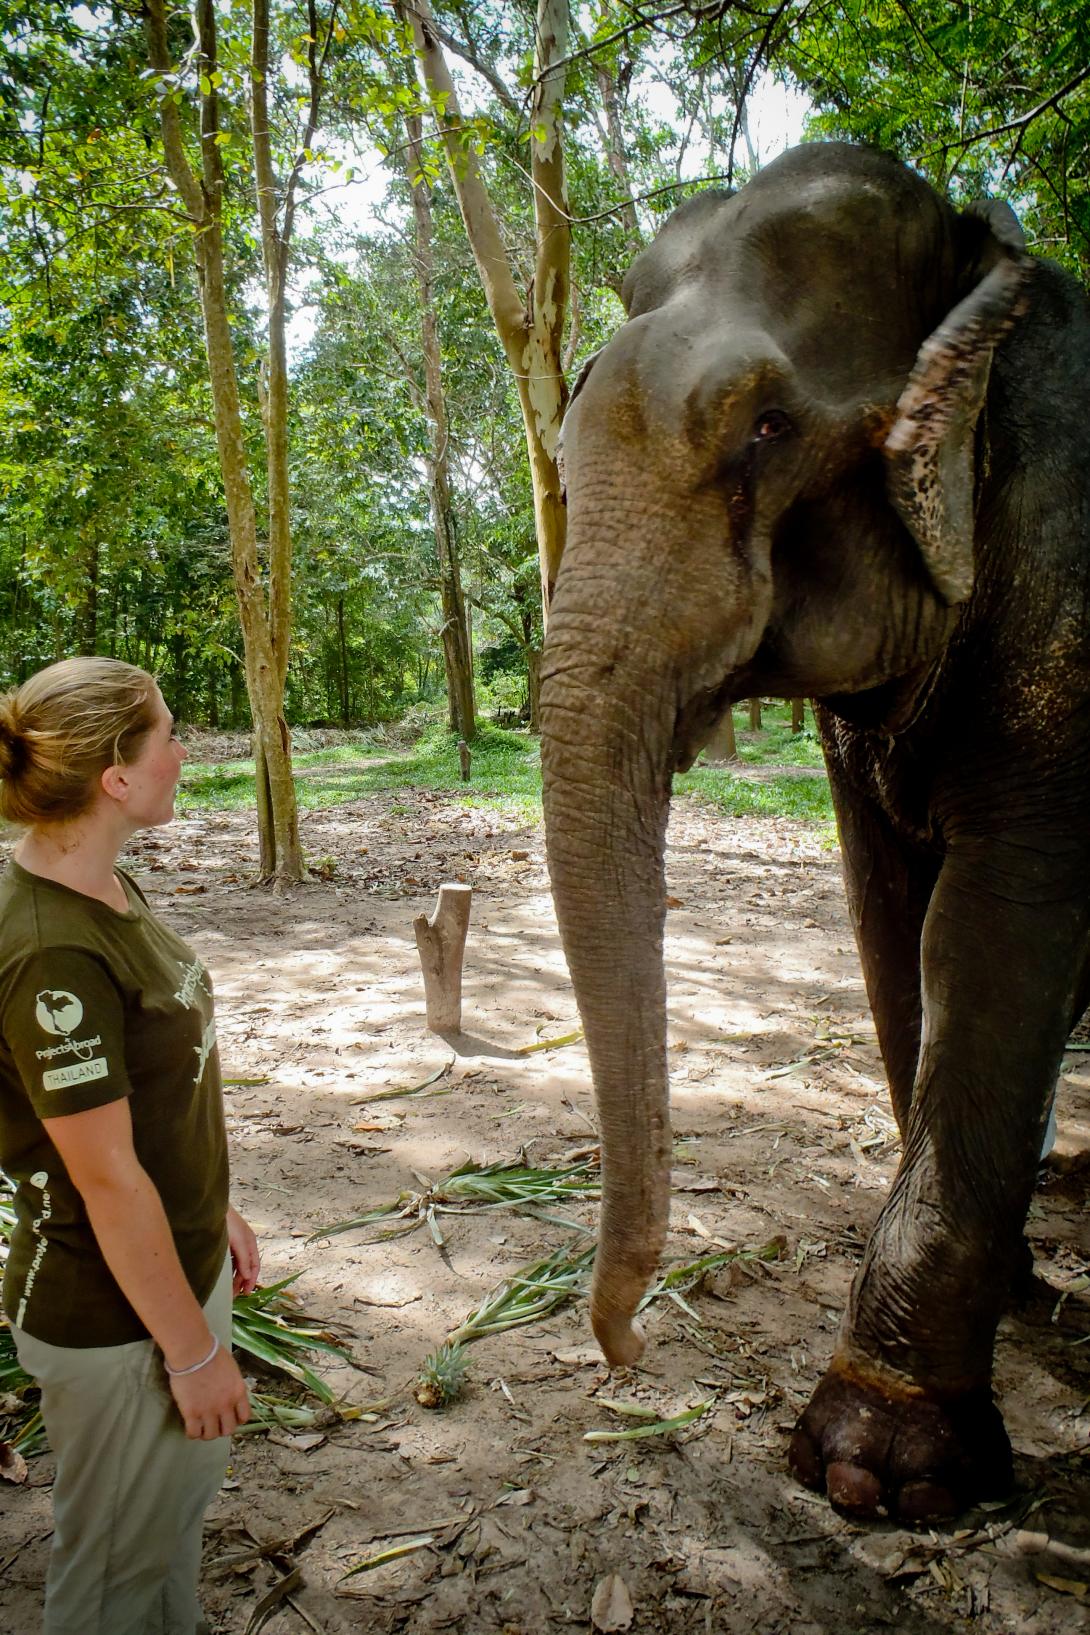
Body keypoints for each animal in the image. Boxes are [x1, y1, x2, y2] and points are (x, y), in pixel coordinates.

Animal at [539, 143, 1090, 1530]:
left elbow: (997, 932)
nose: (626, 1350)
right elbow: (890, 921)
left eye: (765, 429)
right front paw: (1003, 1306)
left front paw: (874, 1467)